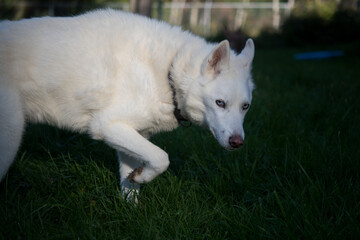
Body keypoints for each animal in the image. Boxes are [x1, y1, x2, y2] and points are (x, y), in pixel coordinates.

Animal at [0, 8, 253, 201]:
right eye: (220, 103)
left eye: (245, 107)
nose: (238, 143)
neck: (168, 72)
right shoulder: (106, 126)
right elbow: (162, 158)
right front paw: (142, 177)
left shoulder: (132, 136)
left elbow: (131, 184)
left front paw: (132, 202)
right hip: (11, 136)